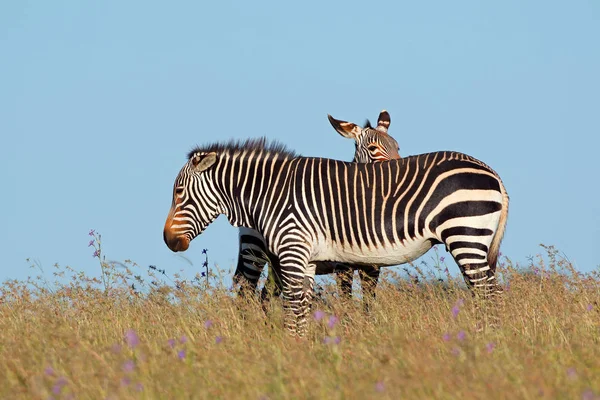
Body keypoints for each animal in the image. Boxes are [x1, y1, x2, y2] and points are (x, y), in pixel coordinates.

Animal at [165, 139, 510, 336]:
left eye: (179, 192)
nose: (169, 241)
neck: (270, 193)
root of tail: (492, 173)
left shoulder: (293, 250)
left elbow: (294, 305)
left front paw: (292, 350)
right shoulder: (304, 259)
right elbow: (301, 306)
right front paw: (300, 351)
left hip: (466, 235)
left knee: (488, 294)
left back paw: (489, 342)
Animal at [232, 110, 400, 310]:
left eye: (397, 147)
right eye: (373, 148)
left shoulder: (373, 266)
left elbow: (368, 303)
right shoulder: (342, 266)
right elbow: (347, 301)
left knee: (266, 294)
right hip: (254, 250)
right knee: (245, 292)